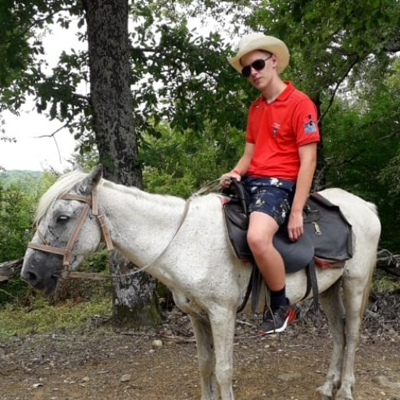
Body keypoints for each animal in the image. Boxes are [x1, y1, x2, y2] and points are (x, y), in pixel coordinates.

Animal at [21, 165, 381, 400]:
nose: (30, 273)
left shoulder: (222, 314)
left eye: (62, 217)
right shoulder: (198, 315)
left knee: (351, 333)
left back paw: (345, 389)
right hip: (330, 289)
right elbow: (205, 365)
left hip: (355, 283)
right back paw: (329, 385)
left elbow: (223, 370)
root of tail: (365, 206)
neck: (185, 242)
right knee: (337, 333)